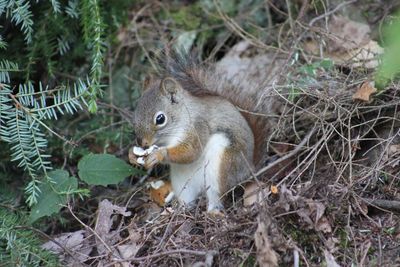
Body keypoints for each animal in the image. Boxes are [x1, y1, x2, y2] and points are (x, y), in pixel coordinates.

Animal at [131, 50, 276, 214]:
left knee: (217, 196)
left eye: (160, 119)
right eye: (135, 114)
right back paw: (180, 209)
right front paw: (132, 156)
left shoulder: (199, 126)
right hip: (182, 182)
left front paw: (159, 154)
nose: (142, 143)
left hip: (222, 165)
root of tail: (249, 170)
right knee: (187, 198)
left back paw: (213, 212)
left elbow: (191, 151)